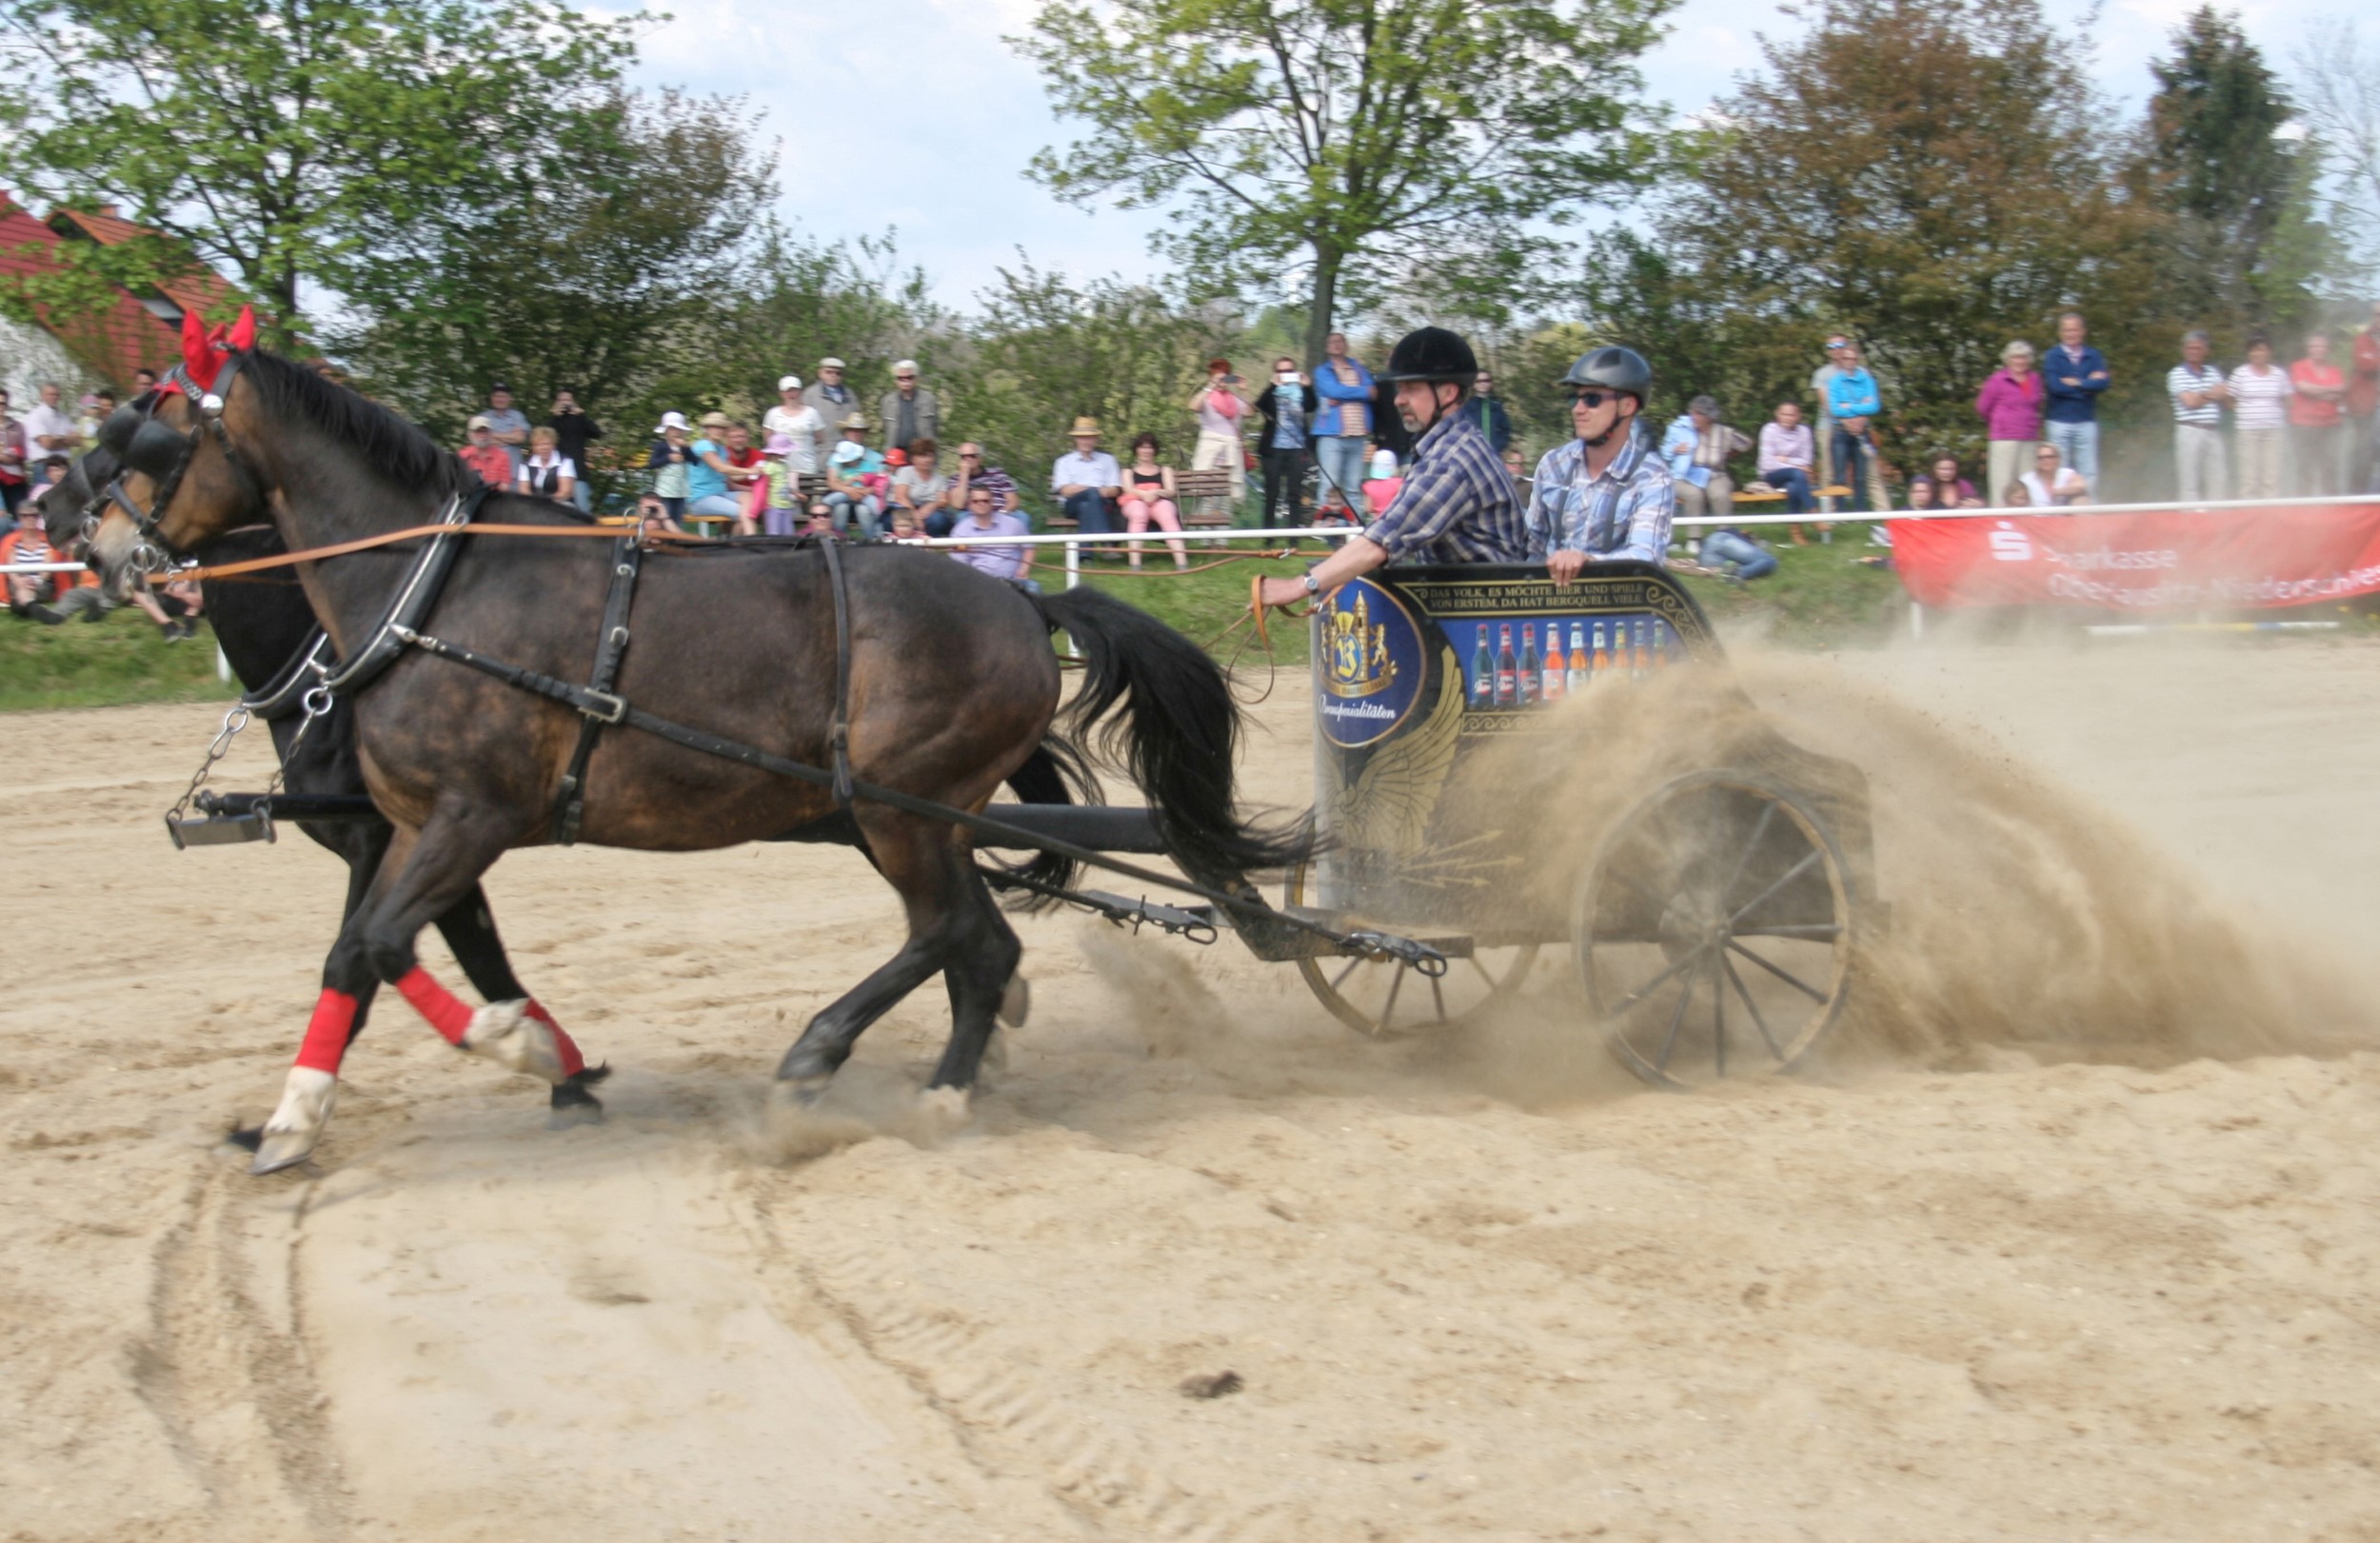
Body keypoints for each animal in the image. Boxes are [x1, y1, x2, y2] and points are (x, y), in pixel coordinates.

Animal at [87, 347, 1304, 1155]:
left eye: (151, 441)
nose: (97, 552)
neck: (430, 594)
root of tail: (1023, 600)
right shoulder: (401, 829)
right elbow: (358, 955)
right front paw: (294, 1117)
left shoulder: (467, 819)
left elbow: (390, 948)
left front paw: (524, 1050)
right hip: (904, 817)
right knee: (973, 944)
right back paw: (944, 1073)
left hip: (902, 810)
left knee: (957, 936)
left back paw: (845, 1064)